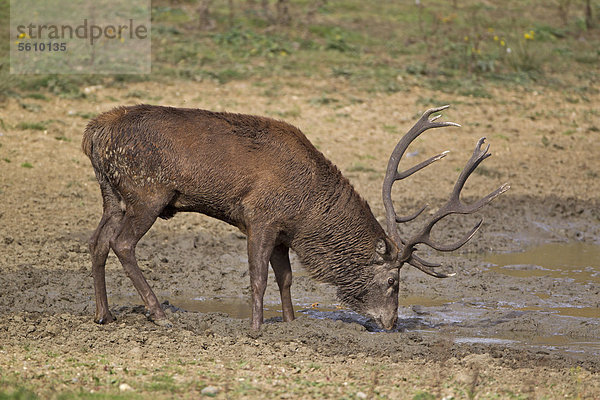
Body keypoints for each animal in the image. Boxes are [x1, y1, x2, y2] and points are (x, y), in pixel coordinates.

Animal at [82, 104, 508, 332]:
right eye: (393, 282)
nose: (391, 324)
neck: (309, 212)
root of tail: (93, 132)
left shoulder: (285, 233)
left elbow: (286, 278)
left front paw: (289, 323)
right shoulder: (260, 217)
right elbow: (258, 278)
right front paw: (255, 329)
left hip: (112, 194)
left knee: (97, 241)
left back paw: (104, 315)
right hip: (147, 193)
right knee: (122, 243)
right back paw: (159, 315)